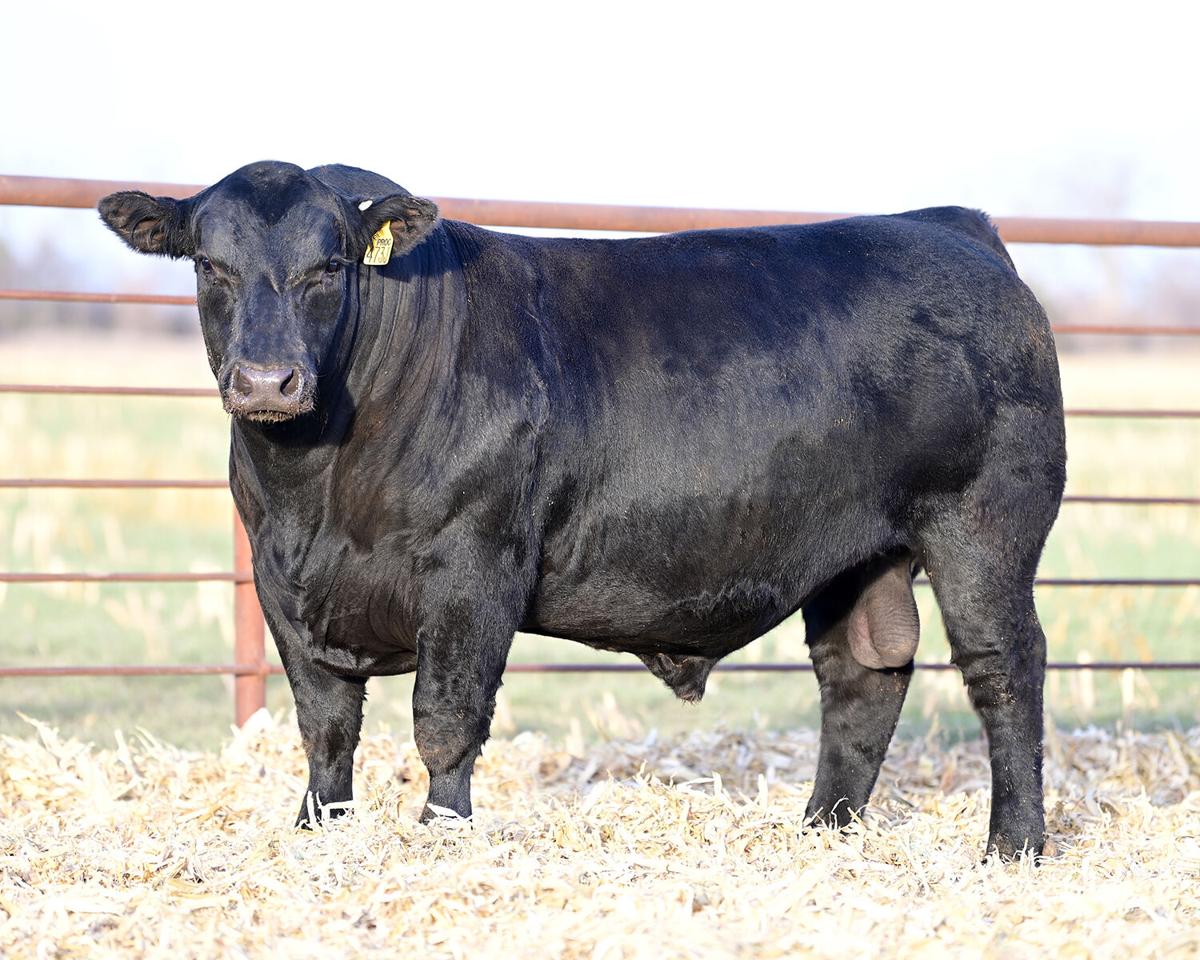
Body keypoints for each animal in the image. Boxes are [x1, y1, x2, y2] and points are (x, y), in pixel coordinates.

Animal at [99, 161, 1065, 860]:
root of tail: (949, 223)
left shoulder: (473, 569)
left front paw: (441, 839)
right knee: (864, 673)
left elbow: (445, 720)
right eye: (209, 264)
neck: (320, 490)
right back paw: (822, 833)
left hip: (983, 524)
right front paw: (317, 834)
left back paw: (1013, 846)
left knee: (1004, 668)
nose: (268, 380)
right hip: (858, 552)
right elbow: (326, 728)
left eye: (328, 266)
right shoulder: (283, 582)